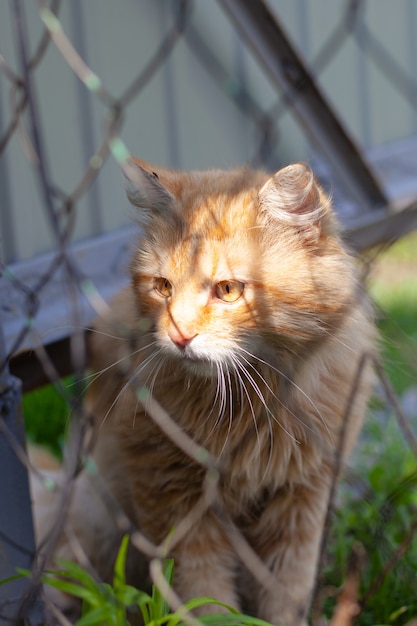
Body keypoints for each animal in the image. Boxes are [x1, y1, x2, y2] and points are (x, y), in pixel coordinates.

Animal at [35, 158, 374, 620]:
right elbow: (206, 595)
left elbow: (285, 592)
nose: (179, 335)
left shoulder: (303, 499)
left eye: (228, 290)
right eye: (163, 287)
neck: (249, 406)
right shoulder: (175, 499)